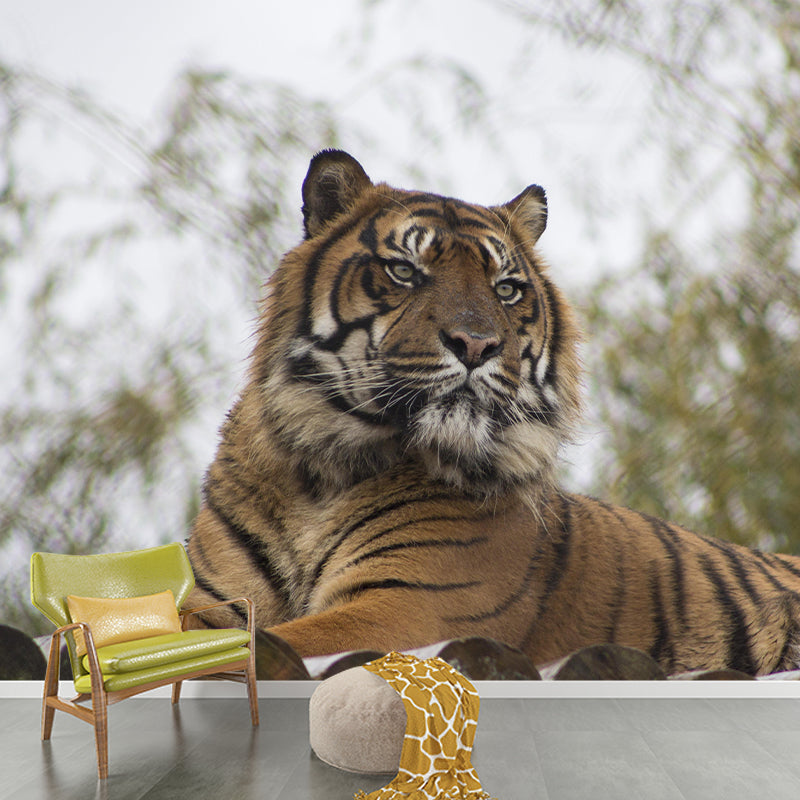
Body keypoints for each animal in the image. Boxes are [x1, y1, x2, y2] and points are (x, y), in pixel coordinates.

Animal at [185, 149, 800, 677]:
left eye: (506, 289)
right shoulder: (214, 601)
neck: (318, 474)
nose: (476, 344)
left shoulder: (406, 607)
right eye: (405, 271)